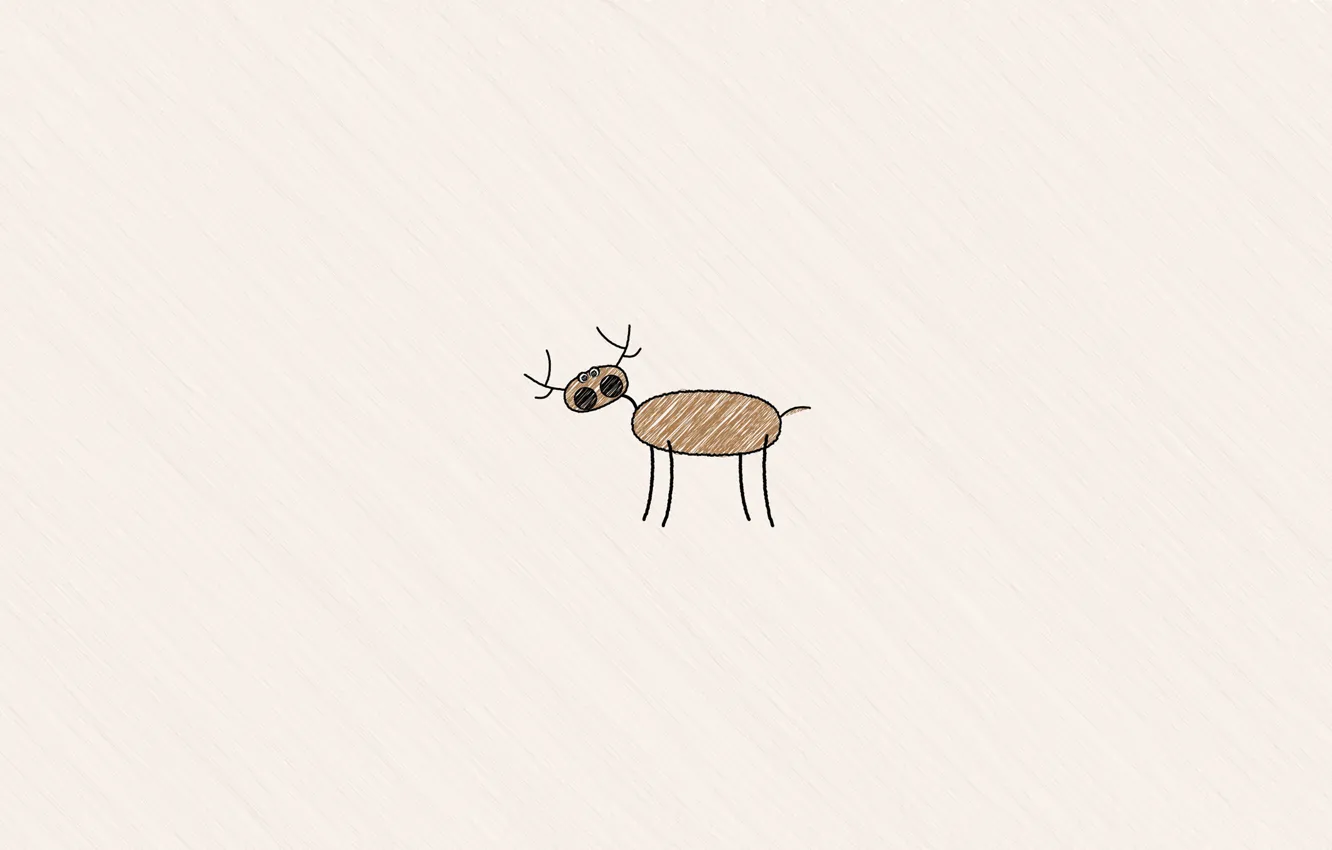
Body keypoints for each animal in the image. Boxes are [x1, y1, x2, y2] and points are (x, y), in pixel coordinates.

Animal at [523, 325, 811, 527]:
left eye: (607, 382)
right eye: (583, 394)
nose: (588, 379)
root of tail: (779, 416)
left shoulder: (666, 447)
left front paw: (657, 517)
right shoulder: (658, 448)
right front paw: (652, 516)